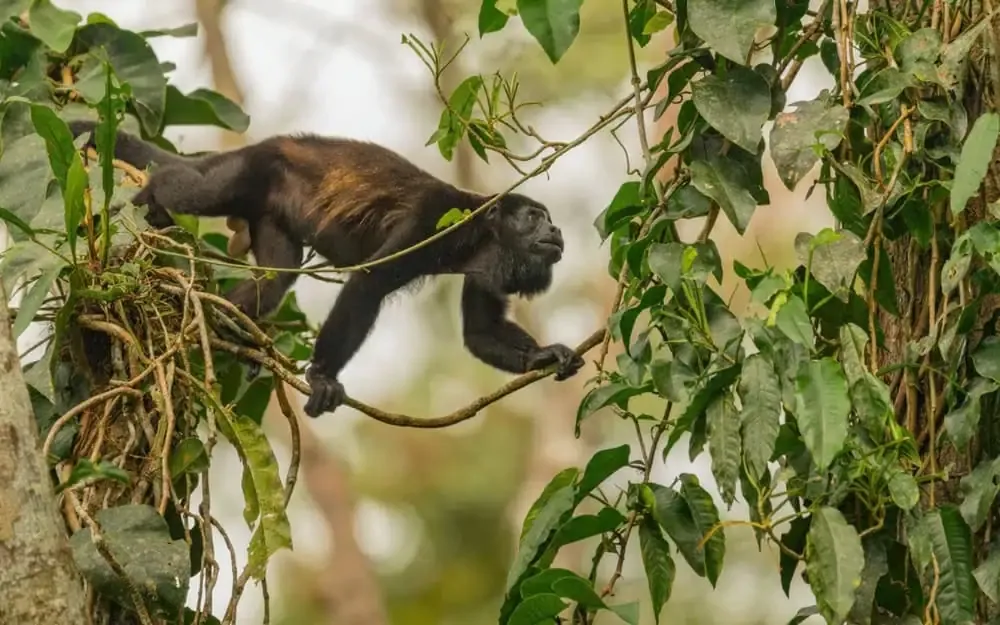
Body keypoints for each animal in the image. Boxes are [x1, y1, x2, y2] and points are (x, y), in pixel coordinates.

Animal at [68, 119, 585, 418]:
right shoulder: (433, 220)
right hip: (249, 172)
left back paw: (227, 326)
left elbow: (479, 331)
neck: (479, 233)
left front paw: (544, 356)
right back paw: (153, 194)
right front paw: (321, 377)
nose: (557, 230)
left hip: (269, 214)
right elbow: (367, 285)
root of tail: (260, 145)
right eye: (534, 216)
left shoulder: (485, 265)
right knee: (195, 190)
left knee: (275, 281)